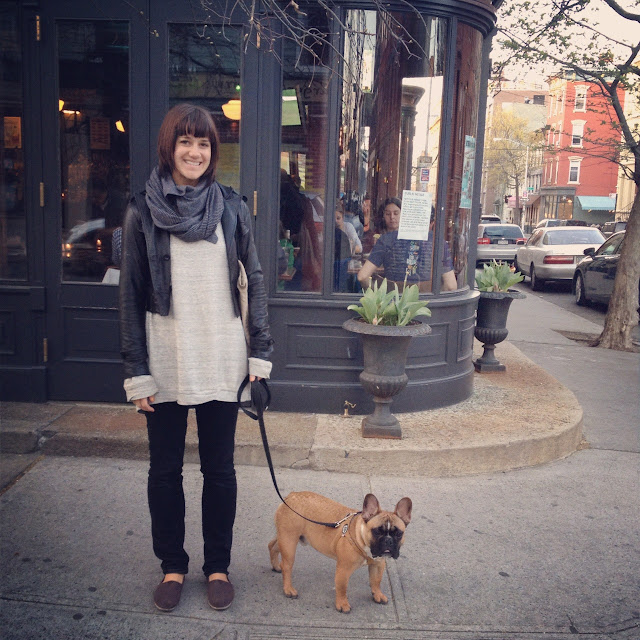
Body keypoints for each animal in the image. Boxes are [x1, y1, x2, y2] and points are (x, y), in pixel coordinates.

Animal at [268, 491, 412, 613]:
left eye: (399, 533)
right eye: (377, 531)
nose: (388, 540)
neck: (361, 538)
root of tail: (290, 496)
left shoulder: (378, 564)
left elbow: (376, 581)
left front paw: (378, 595)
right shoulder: (344, 569)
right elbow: (342, 587)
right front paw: (342, 604)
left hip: (285, 538)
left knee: (272, 546)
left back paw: (275, 566)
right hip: (289, 541)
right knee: (286, 565)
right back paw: (288, 589)